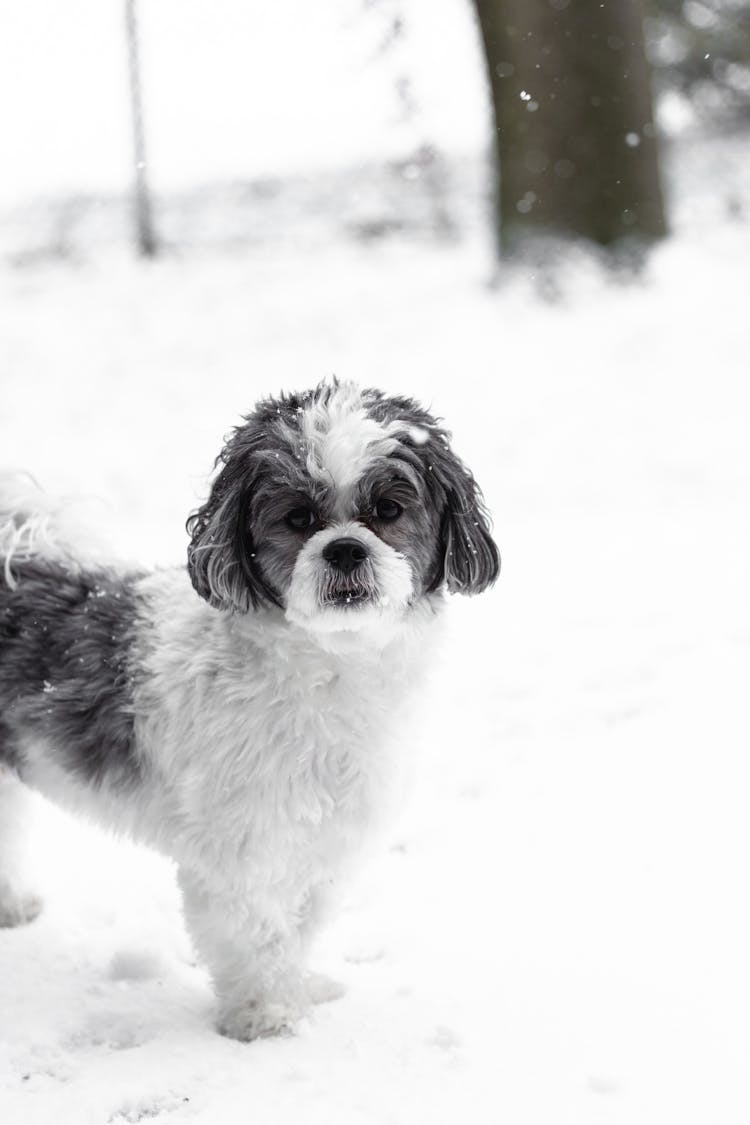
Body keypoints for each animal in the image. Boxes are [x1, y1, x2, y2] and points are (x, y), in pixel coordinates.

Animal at [1, 382, 503, 1039]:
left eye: (388, 511)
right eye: (299, 519)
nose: (345, 549)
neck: (330, 675)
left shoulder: (328, 844)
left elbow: (300, 926)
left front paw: (300, 988)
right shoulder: (238, 848)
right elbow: (255, 935)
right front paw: (264, 1016)